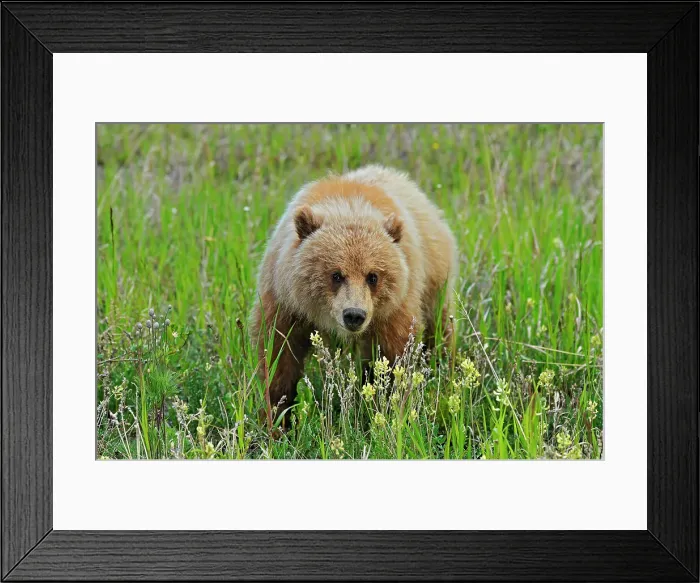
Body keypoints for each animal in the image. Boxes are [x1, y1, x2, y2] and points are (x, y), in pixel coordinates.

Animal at [249, 164, 458, 420]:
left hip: (434, 281)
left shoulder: (394, 308)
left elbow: (395, 355)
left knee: (439, 327)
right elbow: (278, 353)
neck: (348, 206)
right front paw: (278, 415)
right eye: (336, 275)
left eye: (373, 276)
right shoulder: (285, 299)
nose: (354, 315)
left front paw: (391, 407)